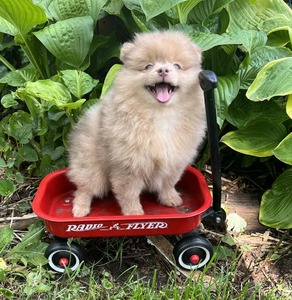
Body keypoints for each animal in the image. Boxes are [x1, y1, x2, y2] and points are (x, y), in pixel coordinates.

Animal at [67, 30, 206, 217]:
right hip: (91, 168)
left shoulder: (174, 160)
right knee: (84, 188)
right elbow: (129, 192)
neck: (160, 114)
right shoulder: (128, 165)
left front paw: (170, 198)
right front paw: (133, 213)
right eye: (148, 66)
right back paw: (80, 209)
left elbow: (168, 183)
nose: (163, 69)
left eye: (177, 65)